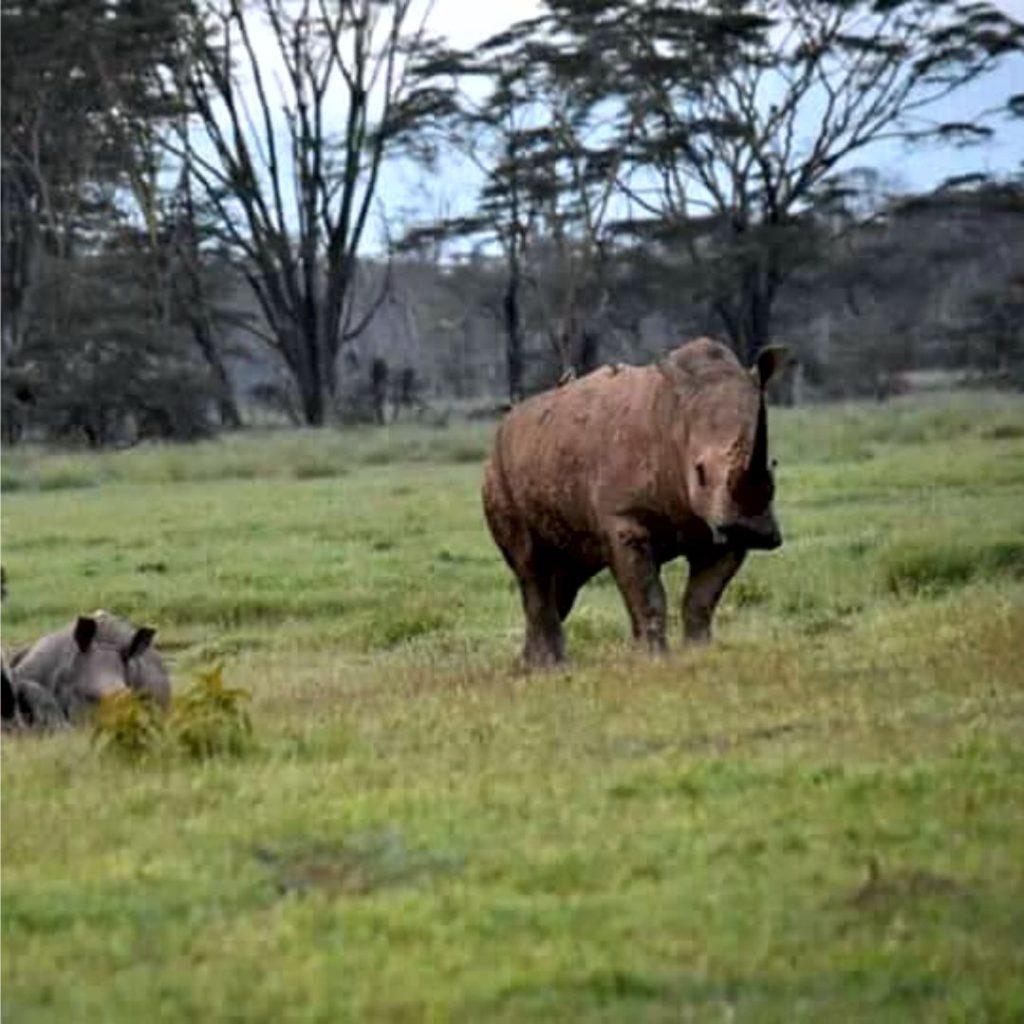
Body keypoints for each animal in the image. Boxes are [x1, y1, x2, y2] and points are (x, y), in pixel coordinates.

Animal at [483, 339, 786, 667]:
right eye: (700, 472)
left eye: (773, 465)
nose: (753, 531)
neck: (676, 420)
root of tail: (506, 422)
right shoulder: (625, 519)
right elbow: (647, 594)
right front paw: (654, 661)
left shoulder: (720, 529)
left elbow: (702, 599)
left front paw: (700, 654)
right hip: (498, 470)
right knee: (531, 564)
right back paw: (549, 667)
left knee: (567, 571)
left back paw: (528, 665)